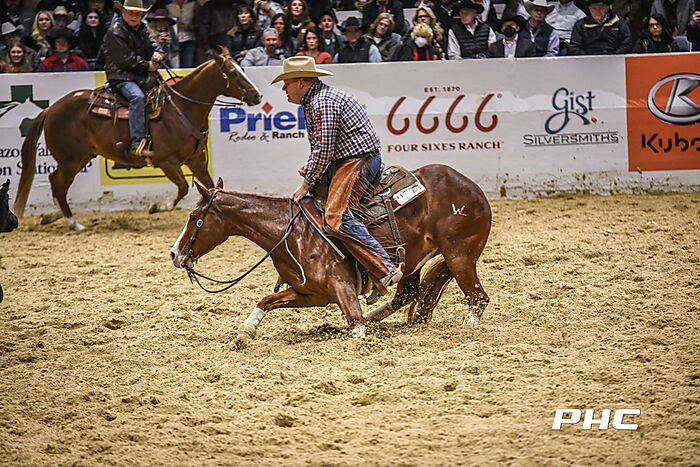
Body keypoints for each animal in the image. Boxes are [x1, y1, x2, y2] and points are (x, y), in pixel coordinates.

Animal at [12, 50, 262, 231]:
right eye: (232, 72)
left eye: (242, 69)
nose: (256, 95)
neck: (182, 108)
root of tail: (51, 108)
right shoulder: (167, 161)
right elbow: (182, 188)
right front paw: (156, 206)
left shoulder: (196, 160)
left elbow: (210, 188)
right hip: (71, 159)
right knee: (59, 183)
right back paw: (74, 223)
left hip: (80, 157)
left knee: (56, 181)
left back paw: (52, 215)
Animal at [169, 164, 491, 340]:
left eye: (193, 217)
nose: (174, 254)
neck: (291, 234)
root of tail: (473, 188)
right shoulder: (310, 293)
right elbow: (266, 300)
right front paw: (245, 331)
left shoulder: (340, 286)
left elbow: (355, 324)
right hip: (415, 263)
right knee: (408, 295)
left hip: (460, 255)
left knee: (478, 297)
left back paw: (470, 324)